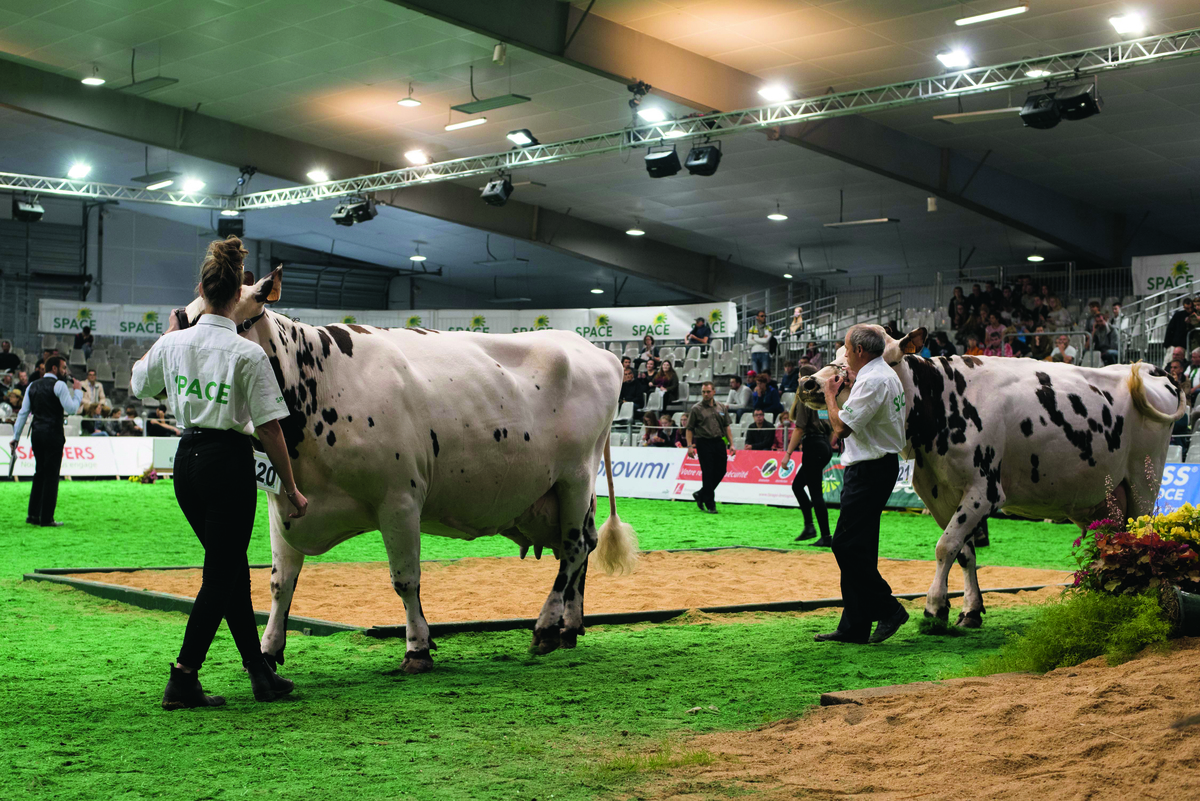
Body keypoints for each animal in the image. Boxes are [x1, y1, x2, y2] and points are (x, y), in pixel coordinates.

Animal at [176, 270, 638, 676]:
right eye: (184, 318)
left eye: (222, 321)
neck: (319, 386)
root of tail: (596, 349)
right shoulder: (282, 504)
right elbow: (279, 582)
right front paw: (269, 651)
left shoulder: (399, 500)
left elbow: (405, 580)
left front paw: (417, 649)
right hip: (560, 494)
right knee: (582, 547)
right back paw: (569, 627)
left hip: (575, 476)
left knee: (574, 548)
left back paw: (545, 627)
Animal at [796, 326, 1180, 633]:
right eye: (836, 354)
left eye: (865, 360)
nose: (809, 383)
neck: (941, 402)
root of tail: (1149, 369)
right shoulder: (938, 492)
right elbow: (963, 552)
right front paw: (968, 610)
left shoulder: (985, 490)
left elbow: (945, 546)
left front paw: (933, 609)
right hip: (1100, 498)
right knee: (1111, 541)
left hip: (1143, 481)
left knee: (1141, 534)